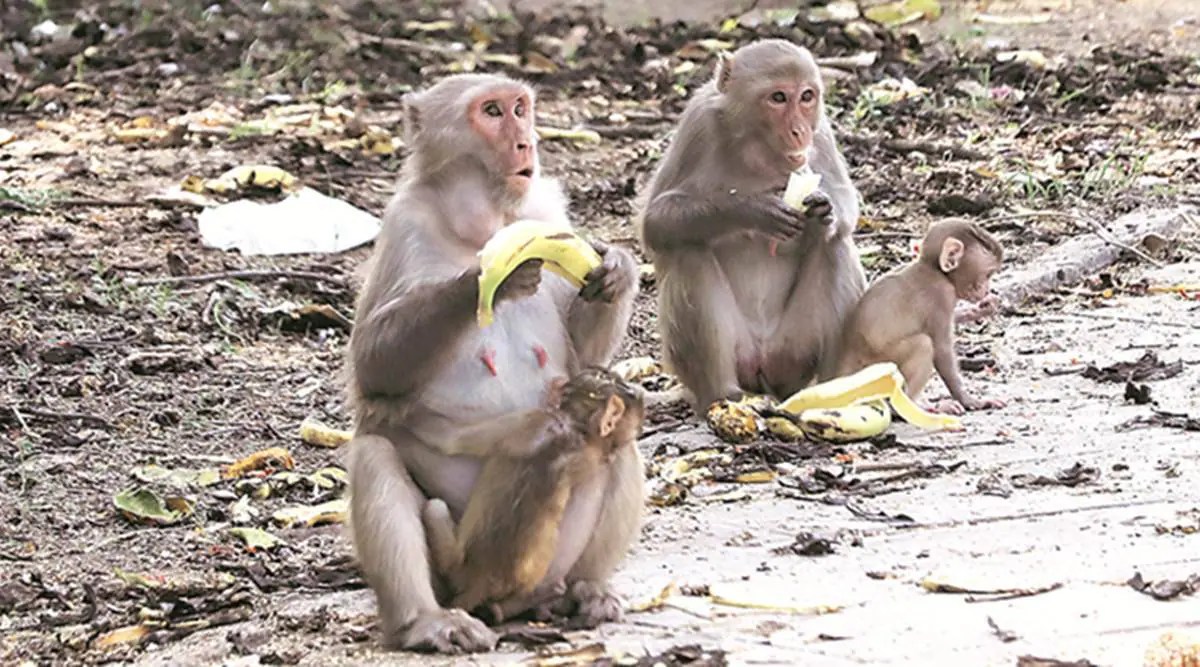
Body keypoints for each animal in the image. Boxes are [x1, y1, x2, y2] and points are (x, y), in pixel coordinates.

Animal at [421, 367, 646, 626]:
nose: (636, 391)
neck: (576, 428)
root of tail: (479, 578)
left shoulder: (536, 421)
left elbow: (451, 439)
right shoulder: (539, 420)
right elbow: (451, 439)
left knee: (434, 507)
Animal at [637, 39, 867, 413]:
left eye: (806, 96)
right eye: (778, 98)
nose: (799, 131)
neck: (755, 147)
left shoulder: (821, 132)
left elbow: (844, 201)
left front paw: (825, 210)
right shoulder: (697, 124)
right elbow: (655, 222)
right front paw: (753, 209)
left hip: (792, 352)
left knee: (836, 246)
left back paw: (834, 389)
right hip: (735, 355)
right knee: (687, 249)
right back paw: (723, 394)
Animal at [835, 219, 1007, 415]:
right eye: (988, 274)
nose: (986, 290)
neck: (934, 269)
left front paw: (981, 309)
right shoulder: (941, 296)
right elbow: (941, 350)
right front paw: (971, 401)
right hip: (875, 366)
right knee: (923, 344)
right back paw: (912, 406)